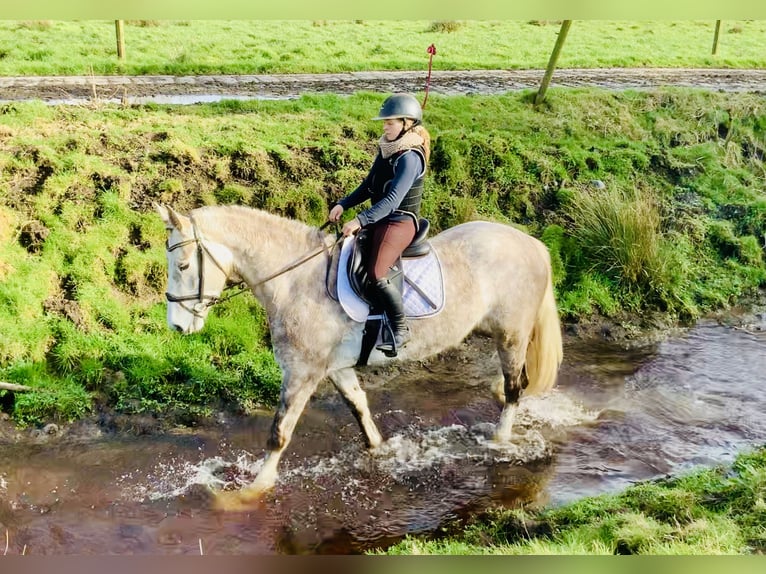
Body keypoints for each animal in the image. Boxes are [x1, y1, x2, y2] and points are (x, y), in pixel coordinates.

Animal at [156, 204, 564, 512]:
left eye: (183, 266)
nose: (177, 326)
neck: (295, 283)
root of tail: (530, 243)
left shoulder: (302, 373)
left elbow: (279, 434)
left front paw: (250, 492)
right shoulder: (336, 369)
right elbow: (360, 409)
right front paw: (379, 451)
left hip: (511, 335)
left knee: (515, 387)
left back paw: (499, 440)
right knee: (512, 387)